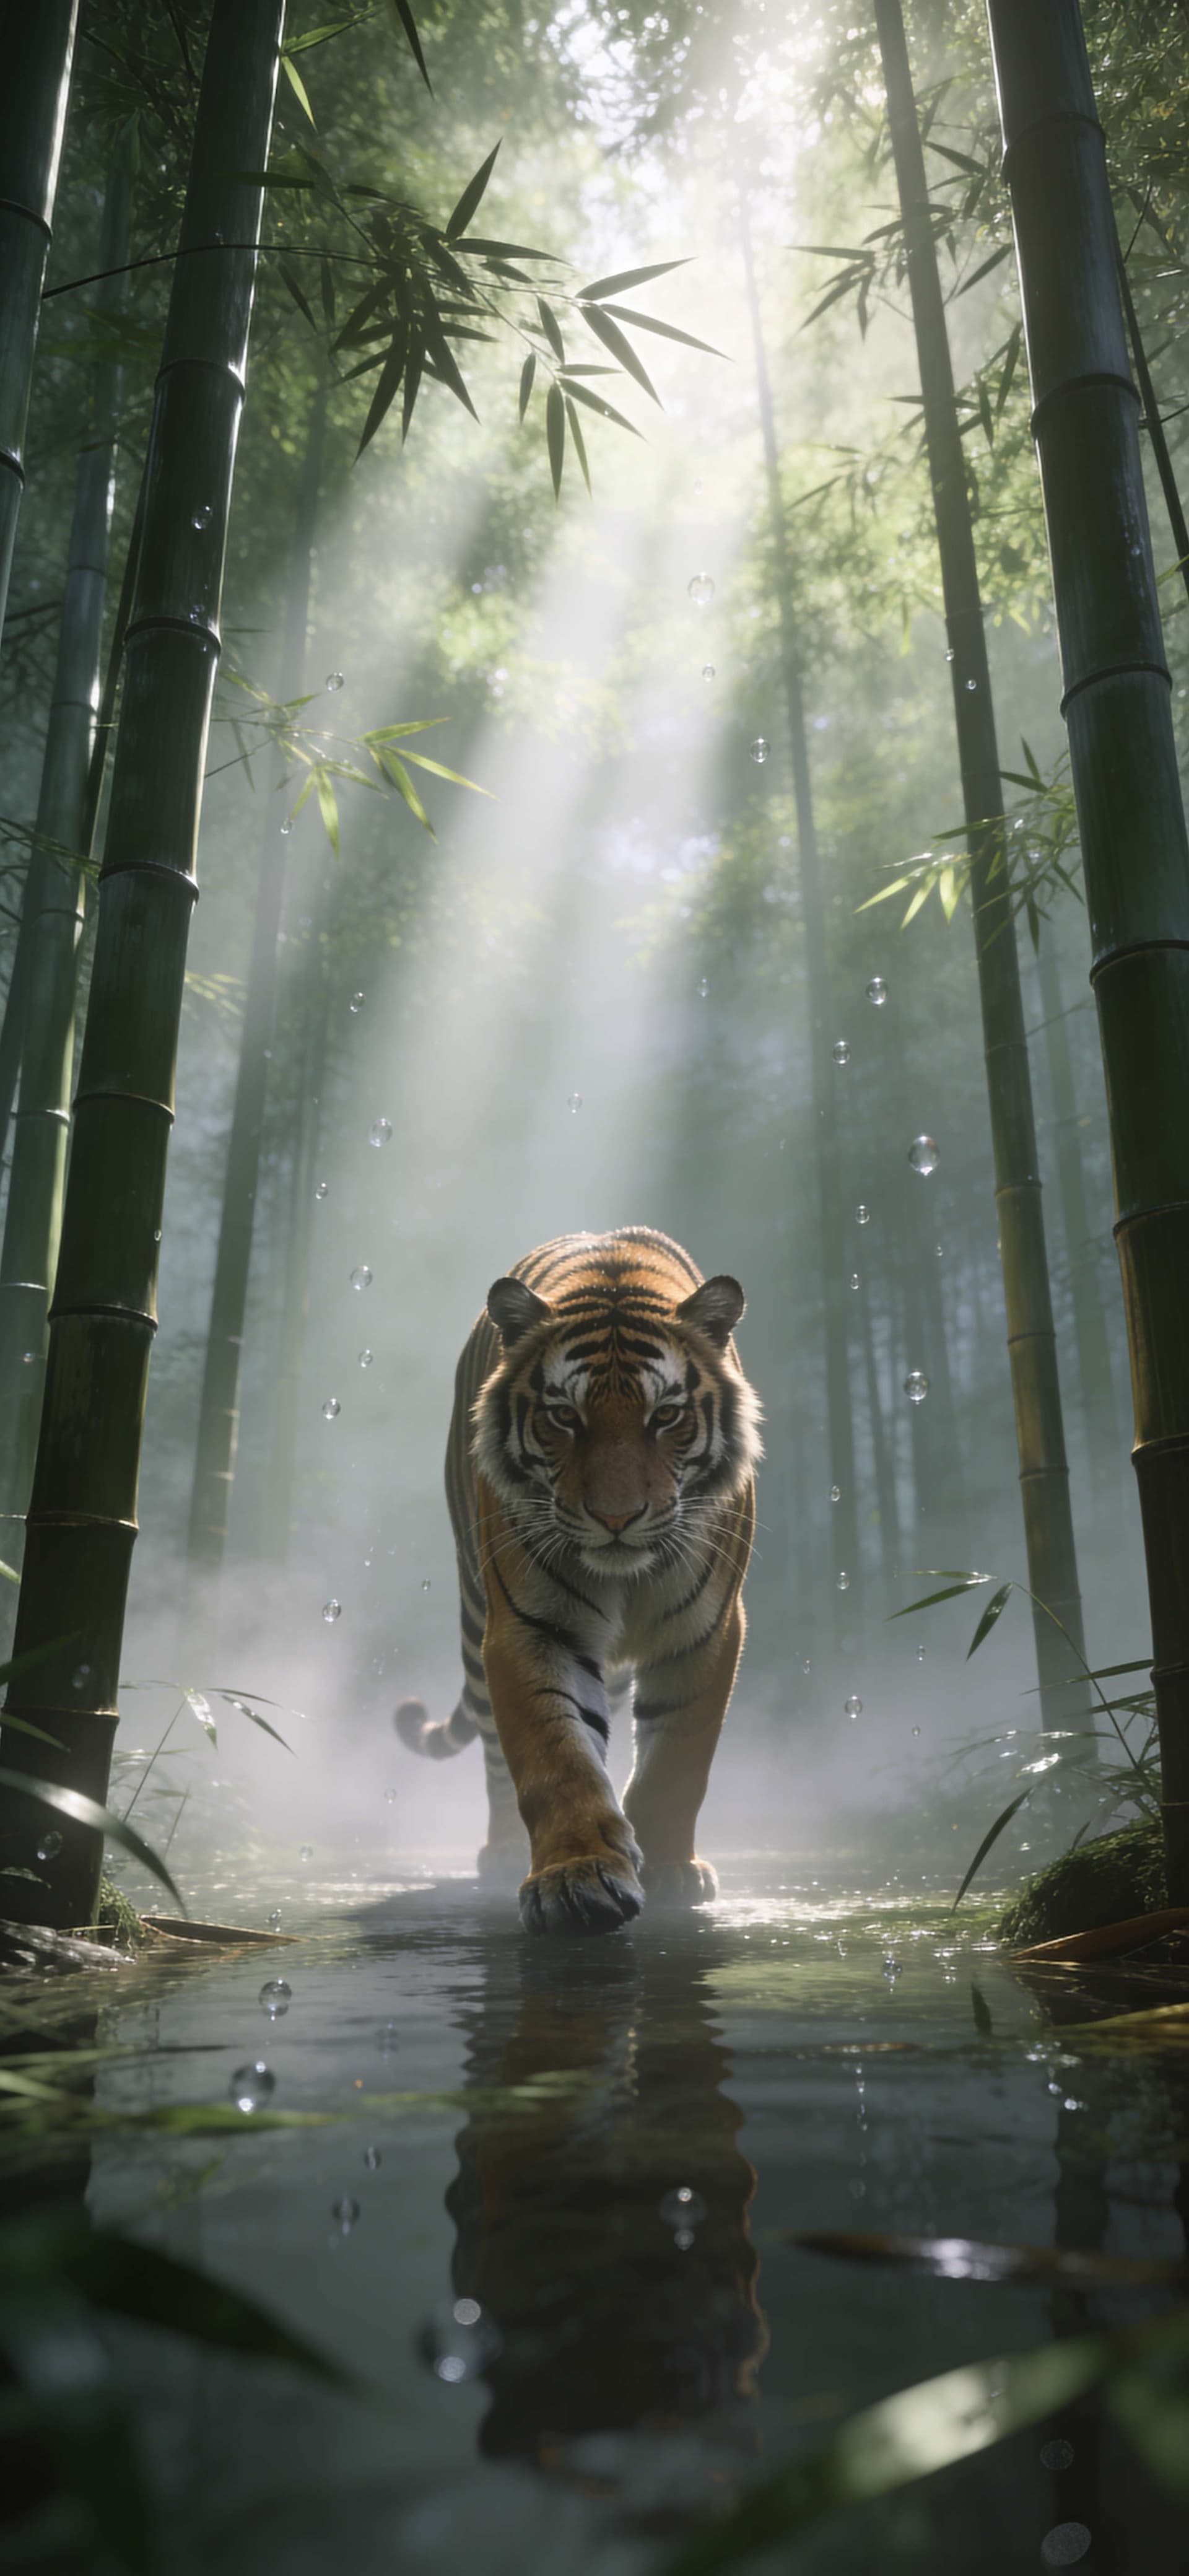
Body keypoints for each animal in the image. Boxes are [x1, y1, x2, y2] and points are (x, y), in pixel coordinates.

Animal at [396, 1226, 761, 1937]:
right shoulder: (532, 1627)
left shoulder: (706, 1628)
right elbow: (556, 1756)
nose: (616, 1517)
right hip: (477, 1613)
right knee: (493, 1751)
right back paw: (503, 1852)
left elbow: (678, 1761)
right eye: (565, 1416)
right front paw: (577, 1876)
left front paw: (671, 1870)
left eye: (665, 1415)